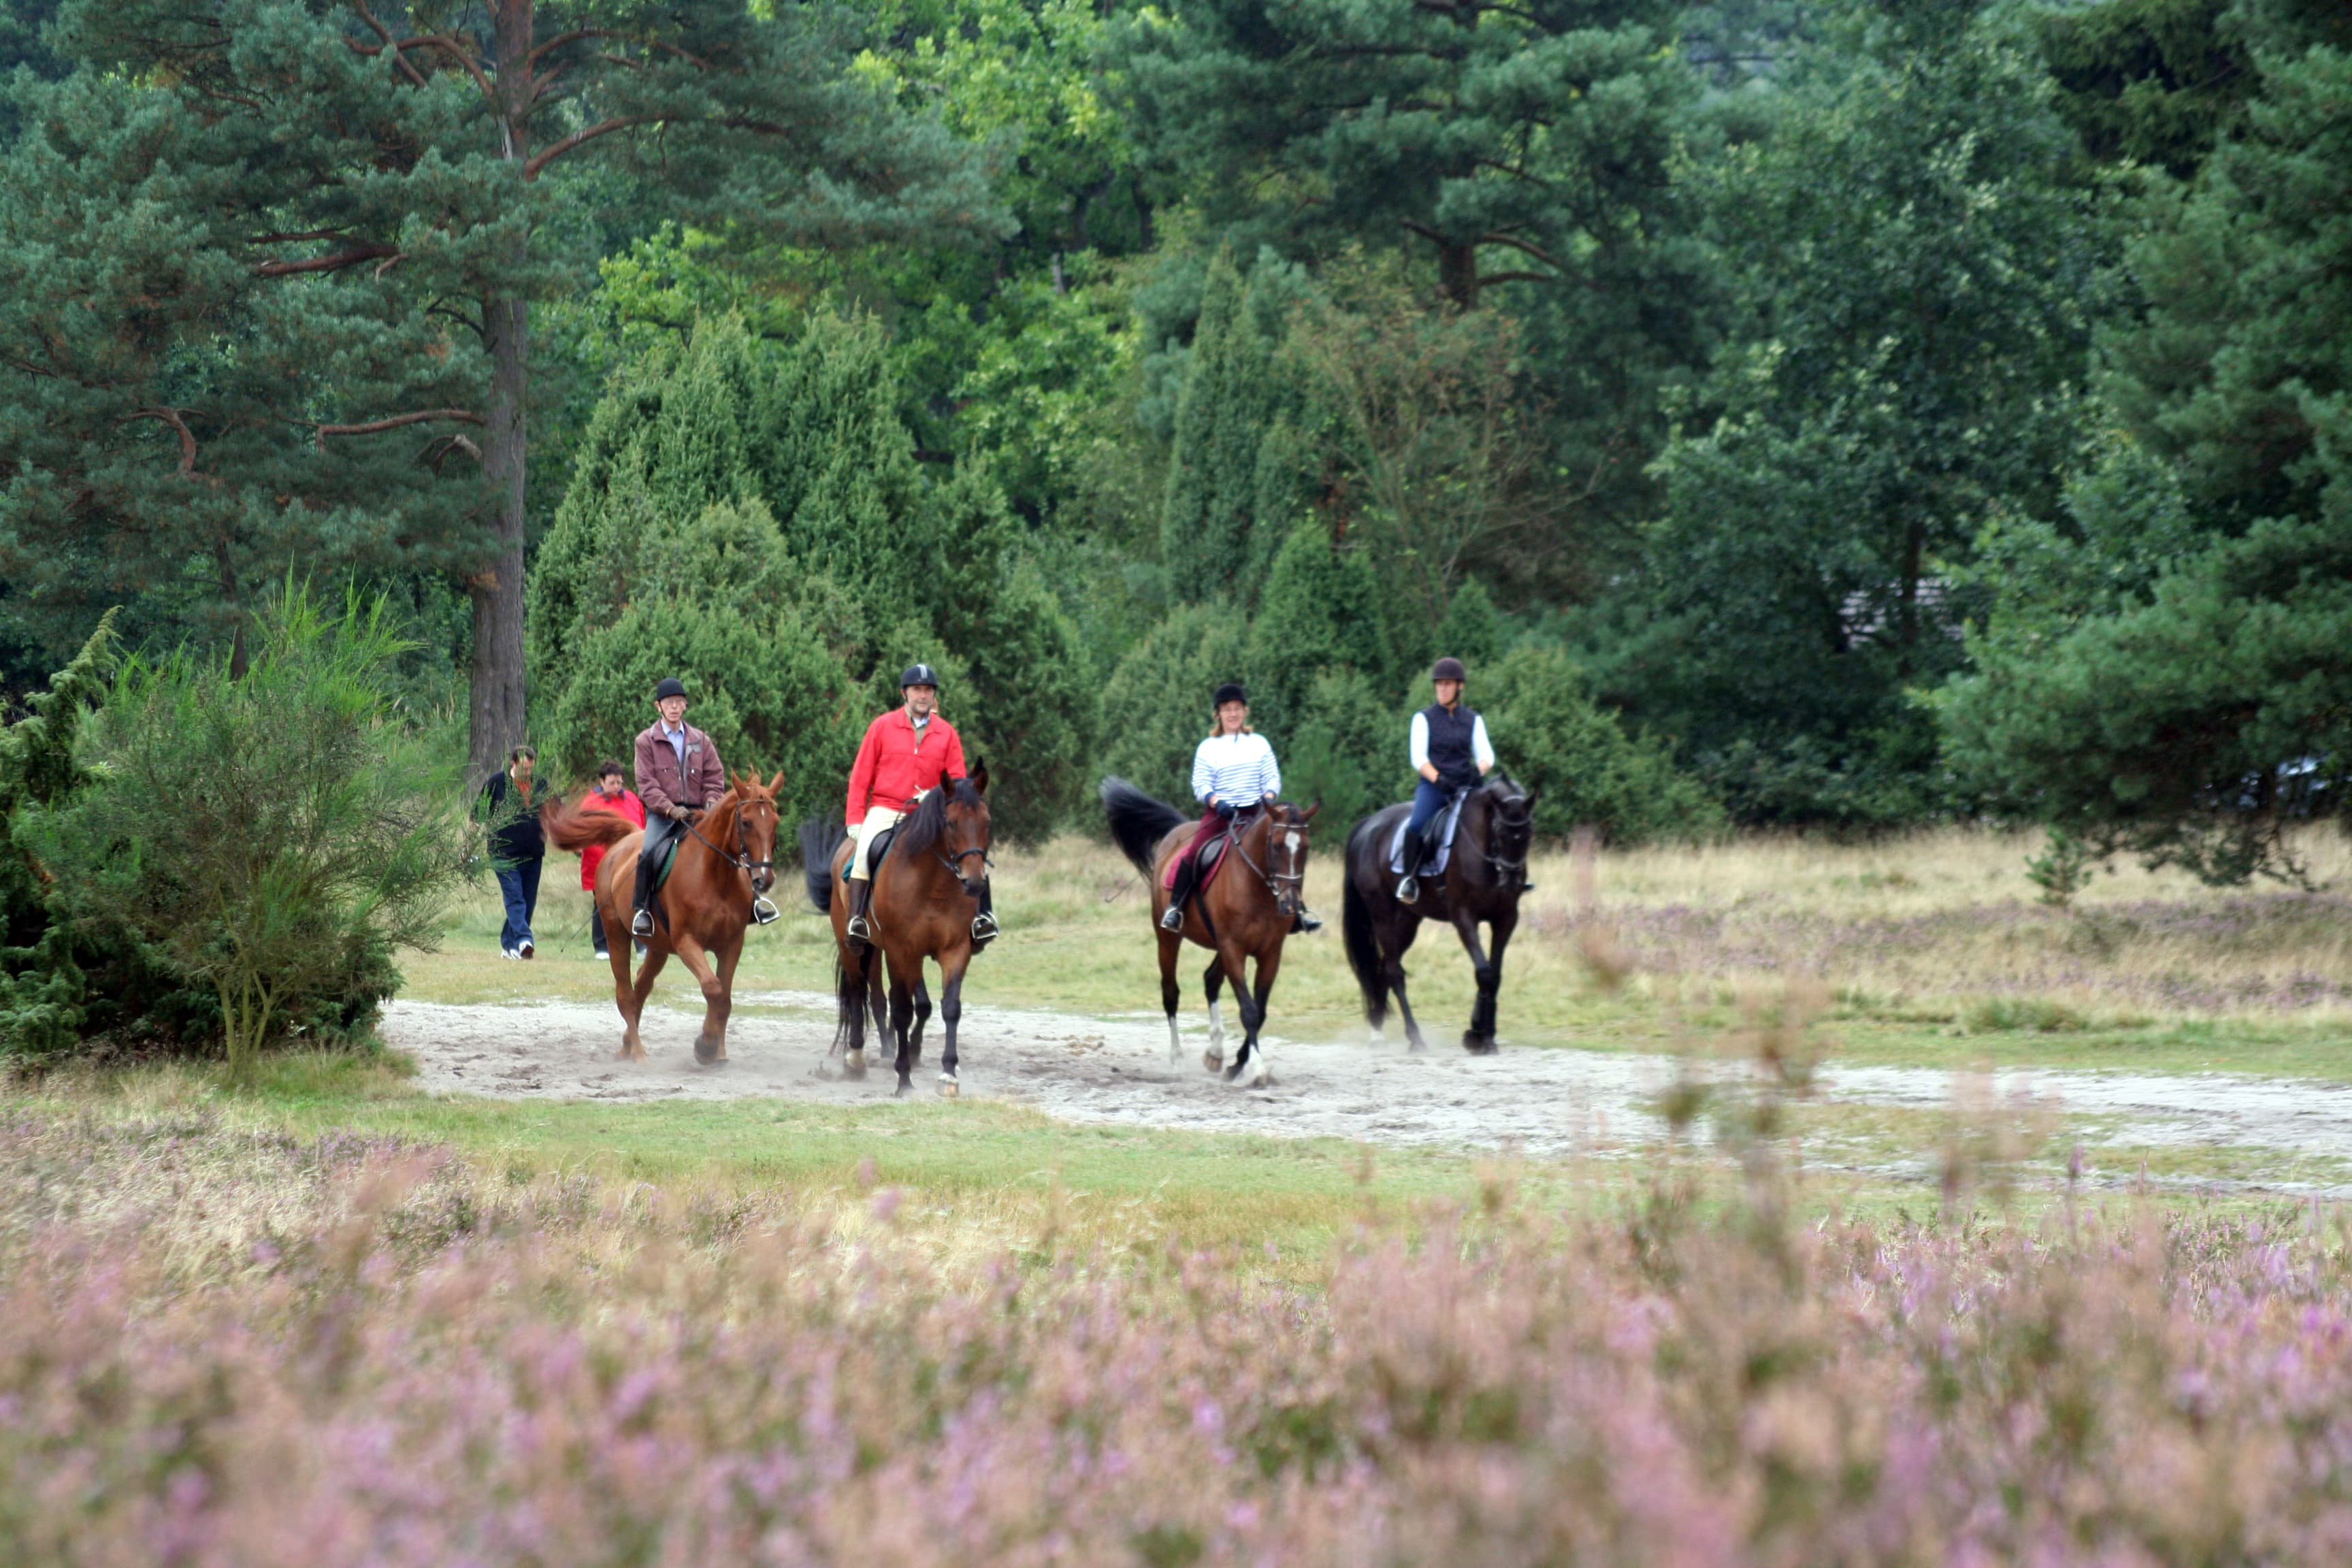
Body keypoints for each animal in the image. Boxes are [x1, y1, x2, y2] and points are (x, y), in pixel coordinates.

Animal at [538, 771, 781, 1067]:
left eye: (775, 821)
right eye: (746, 822)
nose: (764, 880)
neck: (714, 876)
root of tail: (625, 841)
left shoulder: (732, 945)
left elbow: (724, 998)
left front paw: (718, 1052)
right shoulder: (687, 942)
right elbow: (712, 987)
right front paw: (705, 1046)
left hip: (657, 948)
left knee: (642, 987)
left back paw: (627, 1044)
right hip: (616, 934)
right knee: (625, 994)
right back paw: (638, 1052)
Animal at [804, 766, 997, 1100]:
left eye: (986, 822)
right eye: (950, 823)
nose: (973, 882)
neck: (934, 885)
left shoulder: (954, 951)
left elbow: (950, 1008)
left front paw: (948, 1074)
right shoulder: (901, 951)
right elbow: (903, 1009)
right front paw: (904, 1077)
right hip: (851, 944)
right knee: (859, 991)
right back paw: (856, 1059)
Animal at [1096, 780, 1317, 1085]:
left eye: (1305, 848)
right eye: (1276, 846)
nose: (1290, 905)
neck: (1255, 887)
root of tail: (1178, 832)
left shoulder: (1271, 952)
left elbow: (1259, 1011)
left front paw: (1237, 1064)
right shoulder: (1233, 948)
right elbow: (1249, 1011)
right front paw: (1257, 1069)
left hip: (1220, 946)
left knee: (1211, 980)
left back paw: (1215, 1052)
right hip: (1169, 939)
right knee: (1171, 993)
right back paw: (1177, 1059)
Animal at [1345, 771, 1543, 1053]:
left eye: (1529, 832)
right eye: (1499, 830)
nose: (1512, 880)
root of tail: (1368, 825)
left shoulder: (1505, 919)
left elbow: (1494, 975)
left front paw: (1486, 1036)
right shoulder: (1464, 918)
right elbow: (1484, 972)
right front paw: (1476, 1034)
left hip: (1407, 920)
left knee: (1385, 968)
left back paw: (1377, 1030)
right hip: (1382, 913)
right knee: (1394, 972)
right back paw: (1415, 1038)